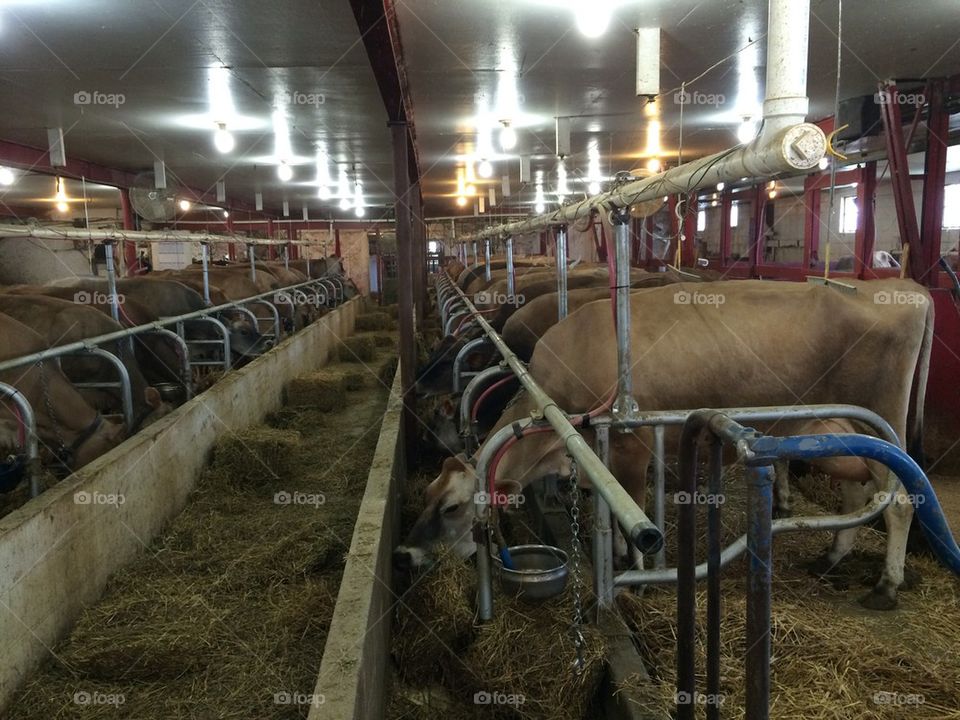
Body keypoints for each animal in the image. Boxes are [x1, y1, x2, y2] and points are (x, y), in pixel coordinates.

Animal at [397, 279, 933, 610]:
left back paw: (887, 585)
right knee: (859, 492)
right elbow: (607, 509)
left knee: (900, 502)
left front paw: (634, 575)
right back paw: (833, 555)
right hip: (843, 430)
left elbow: (631, 509)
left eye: (451, 508)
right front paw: (614, 555)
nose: (407, 553)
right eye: (425, 494)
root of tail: (906, 291)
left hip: (882, 421)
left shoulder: (631, 447)